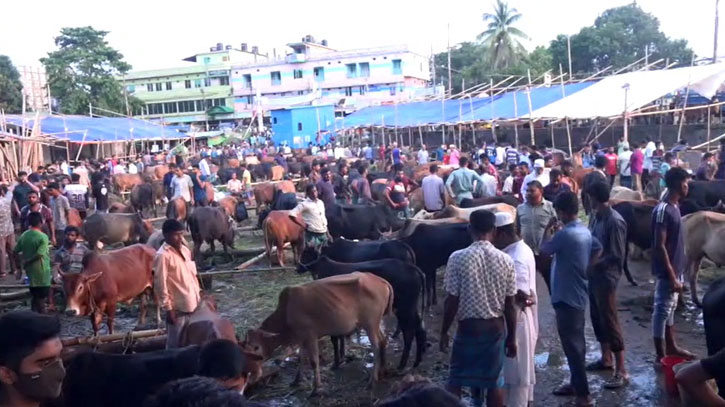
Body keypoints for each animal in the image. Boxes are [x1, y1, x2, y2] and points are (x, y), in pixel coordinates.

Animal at [243, 272, 394, 396]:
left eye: (256, 347)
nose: (253, 375)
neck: (286, 312)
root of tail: (380, 280)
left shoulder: (310, 336)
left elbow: (313, 361)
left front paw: (317, 388)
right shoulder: (302, 338)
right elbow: (301, 357)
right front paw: (296, 380)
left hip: (370, 324)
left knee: (376, 347)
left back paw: (372, 380)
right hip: (375, 323)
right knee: (383, 341)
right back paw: (383, 371)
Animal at [298, 256, 428, 372]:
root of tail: (412, 267)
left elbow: (335, 339)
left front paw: (336, 363)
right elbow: (340, 337)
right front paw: (342, 357)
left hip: (404, 309)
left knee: (409, 332)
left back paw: (402, 365)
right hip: (410, 309)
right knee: (419, 329)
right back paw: (417, 361)